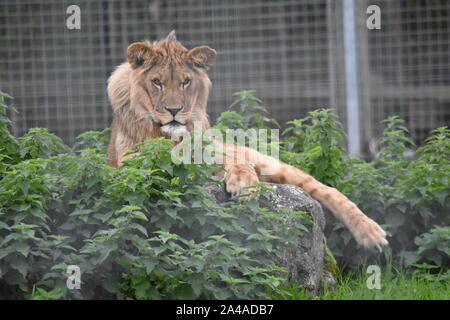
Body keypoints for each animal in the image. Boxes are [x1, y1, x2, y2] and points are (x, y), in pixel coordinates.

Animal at [105, 31, 386, 251]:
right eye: (156, 82)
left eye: (186, 82)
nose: (174, 110)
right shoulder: (131, 164)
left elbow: (232, 161)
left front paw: (243, 181)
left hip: (275, 166)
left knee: (325, 188)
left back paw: (372, 233)